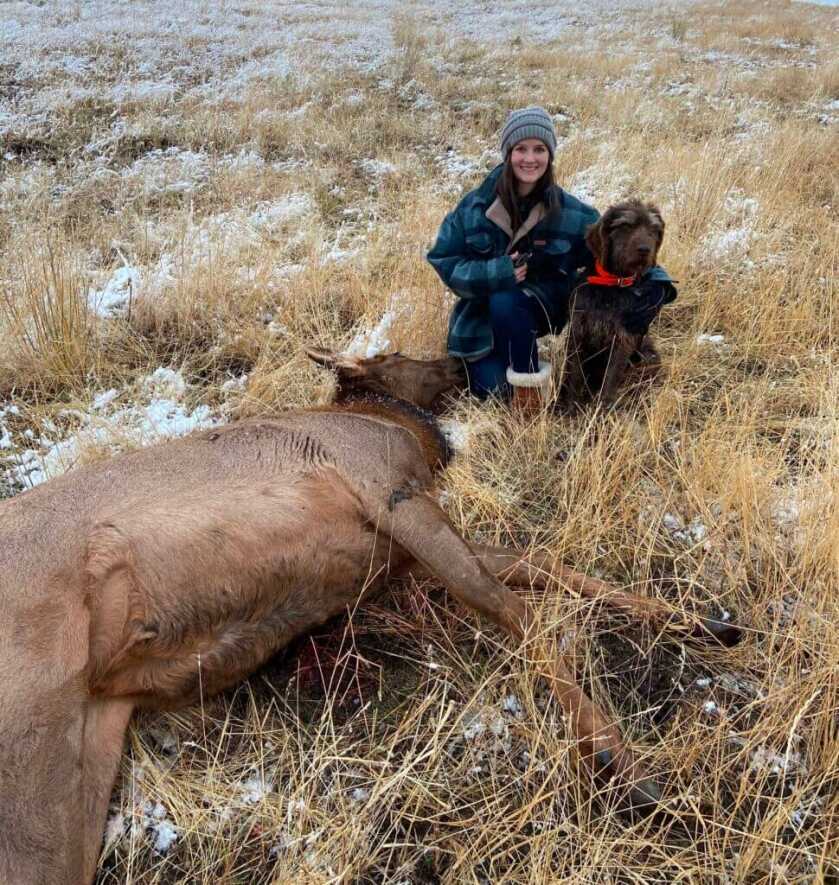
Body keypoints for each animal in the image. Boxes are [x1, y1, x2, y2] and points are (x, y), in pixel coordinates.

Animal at [0, 348, 740, 884]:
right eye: (396, 354)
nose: (459, 355)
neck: (398, 430)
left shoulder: (397, 556)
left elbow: (538, 564)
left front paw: (705, 621)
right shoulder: (388, 491)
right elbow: (511, 607)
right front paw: (625, 762)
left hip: (91, 738)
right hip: (34, 718)